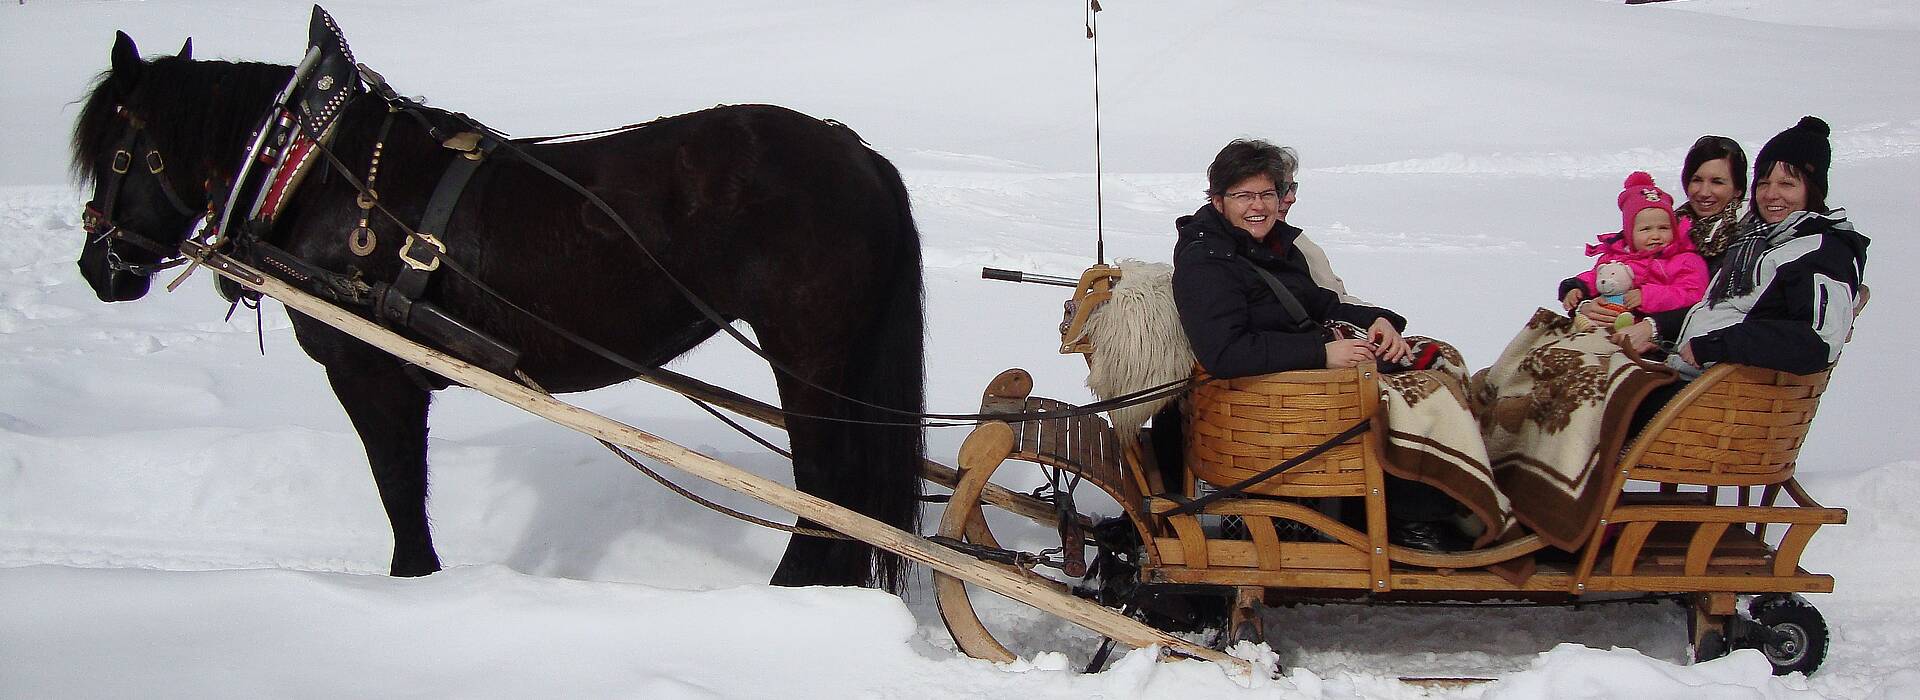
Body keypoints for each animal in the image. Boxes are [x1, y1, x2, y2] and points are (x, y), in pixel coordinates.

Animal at [78, 31, 933, 590]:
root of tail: (858, 155)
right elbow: (405, 484)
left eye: (114, 154)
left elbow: (398, 486)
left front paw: (412, 582)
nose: (99, 268)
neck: (319, 173)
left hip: (804, 351)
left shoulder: (366, 368)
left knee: (825, 485)